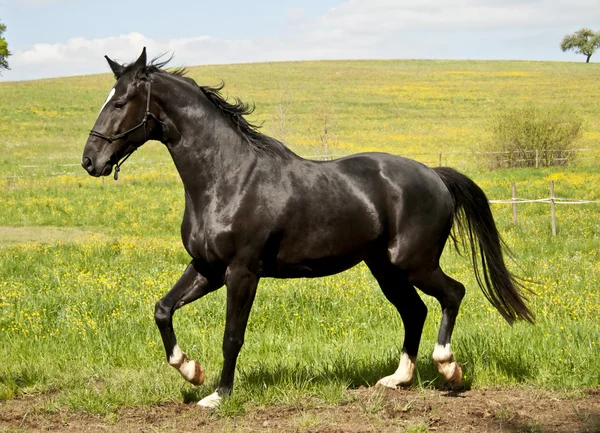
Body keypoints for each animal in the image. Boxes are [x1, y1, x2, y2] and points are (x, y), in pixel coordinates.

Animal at [81, 49, 536, 406]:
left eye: (121, 102)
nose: (90, 161)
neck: (226, 178)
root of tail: (435, 176)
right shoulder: (207, 268)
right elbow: (163, 309)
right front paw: (192, 371)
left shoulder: (242, 272)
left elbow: (232, 335)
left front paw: (218, 395)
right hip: (385, 268)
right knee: (415, 310)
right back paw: (397, 379)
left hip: (413, 263)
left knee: (452, 294)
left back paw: (448, 369)